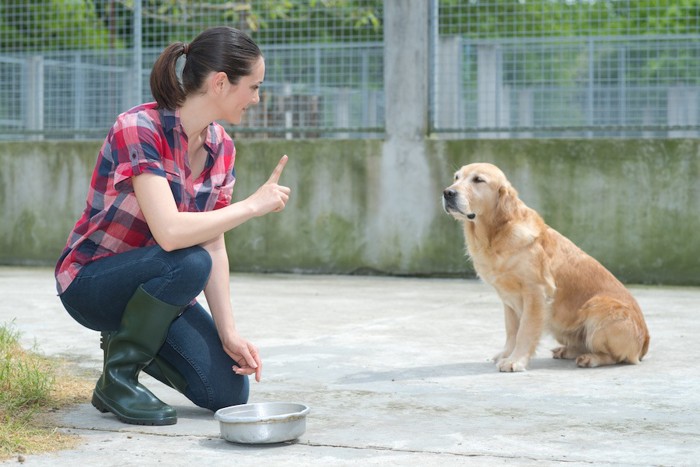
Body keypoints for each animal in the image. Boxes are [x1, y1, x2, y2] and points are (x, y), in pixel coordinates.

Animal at [442, 164, 652, 372]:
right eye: (456, 177)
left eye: (478, 180)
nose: (447, 192)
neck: (497, 233)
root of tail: (644, 343)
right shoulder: (508, 300)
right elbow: (511, 331)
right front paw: (506, 354)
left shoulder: (535, 293)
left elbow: (524, 331)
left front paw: (515, 361)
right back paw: (567, 350)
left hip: (598, 307)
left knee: (616, 356)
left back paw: (590, 358)